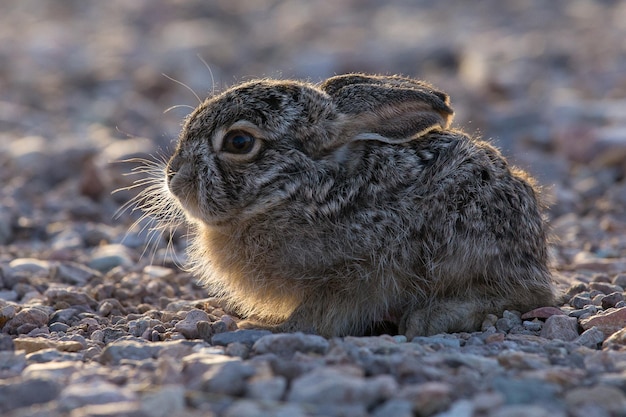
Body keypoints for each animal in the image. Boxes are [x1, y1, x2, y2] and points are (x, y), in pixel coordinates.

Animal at [135, 72, 552, 338]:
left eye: (239, 142)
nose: (174, 175)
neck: (293, 189)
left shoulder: (356, 273)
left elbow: (318, 317)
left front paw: (261, 328)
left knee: (526, 298)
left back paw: (430, 319)